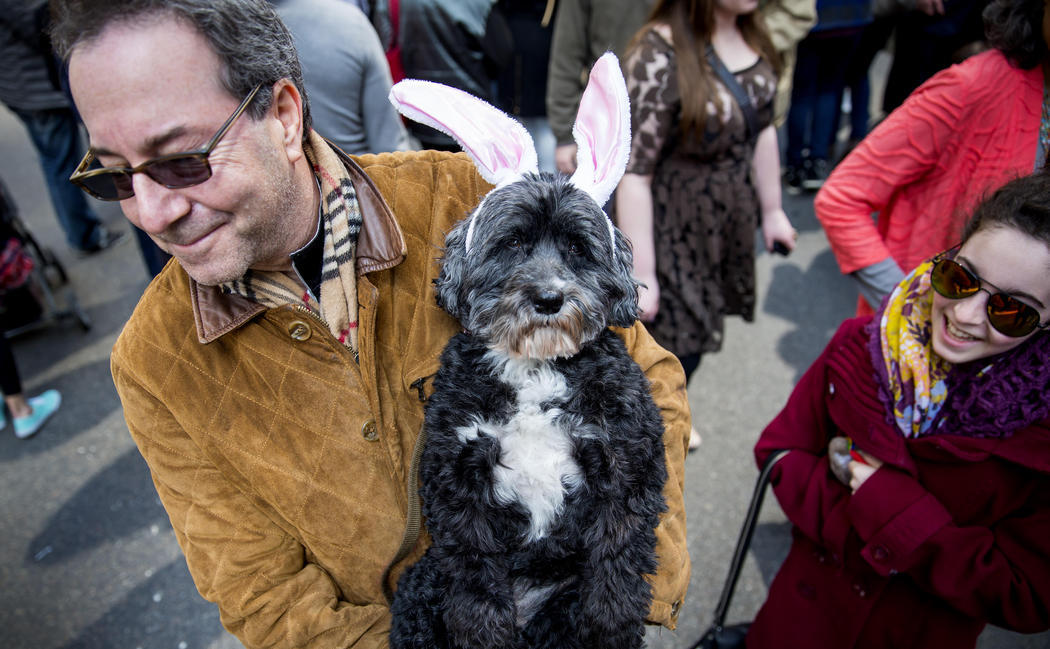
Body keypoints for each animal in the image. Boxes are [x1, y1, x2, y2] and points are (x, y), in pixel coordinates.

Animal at [390, 54, 667, 646]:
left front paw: (612, 627)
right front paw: (484, 630)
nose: (548, 299)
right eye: (513, 242)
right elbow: (474, 580)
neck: (537, 368)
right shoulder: (460, 478)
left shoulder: (624, 462)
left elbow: (615, 569)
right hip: (421, 589)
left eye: (577, 248)